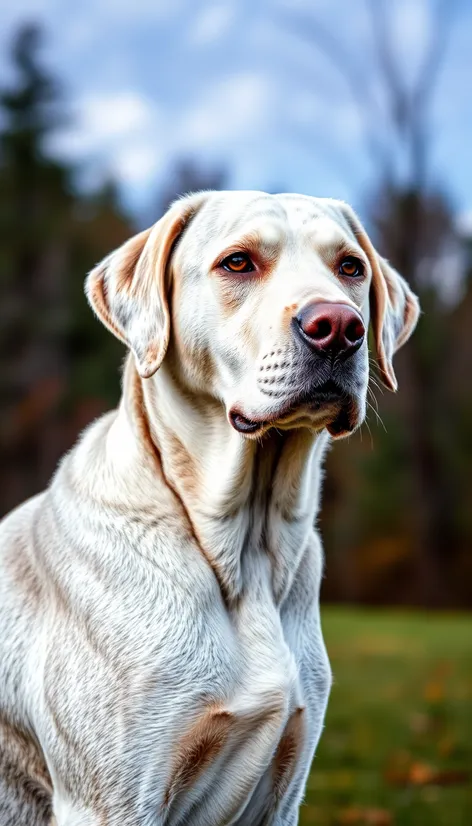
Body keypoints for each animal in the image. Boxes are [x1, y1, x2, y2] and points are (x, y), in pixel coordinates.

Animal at [0, 193, 420, 824]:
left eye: (350, 267)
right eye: (238, 262)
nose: (340, 327)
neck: (247, 555)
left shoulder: (283, 792)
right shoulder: (114, 800)